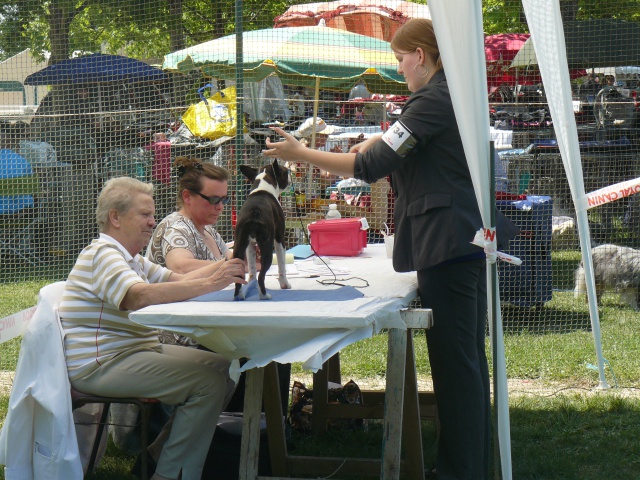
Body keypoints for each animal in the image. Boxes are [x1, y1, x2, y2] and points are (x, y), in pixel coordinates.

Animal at [234, 159, 292, 298]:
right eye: (285, 172)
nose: (290, 172)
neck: (263, 187)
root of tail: (255, 210)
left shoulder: (249, 245)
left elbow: (252, 267)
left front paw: (251, 282)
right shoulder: (279, 239)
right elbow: (282, 264)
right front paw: (285, 284)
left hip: (239, 245)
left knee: (239, 274)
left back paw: (239, 295)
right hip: (267, 246)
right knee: (262, 275)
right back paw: (264, 295)